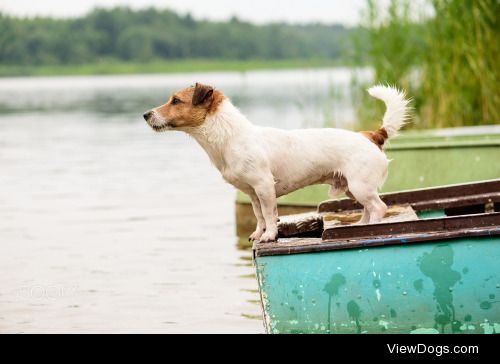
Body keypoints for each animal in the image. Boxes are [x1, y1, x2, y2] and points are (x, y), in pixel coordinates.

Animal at [145, 82, 410, 242]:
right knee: (368, 208)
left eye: (176, 101)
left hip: (360, 186)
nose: (146, 114)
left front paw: (270, 235)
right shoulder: (252, 193)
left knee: (379, 207)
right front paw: (258, 233)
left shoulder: (264, 187)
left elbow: (270, 214)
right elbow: (260, 216)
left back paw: (372, 228)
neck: (230, 137)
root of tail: (372, 135)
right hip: (352, 188)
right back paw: (361, 227)